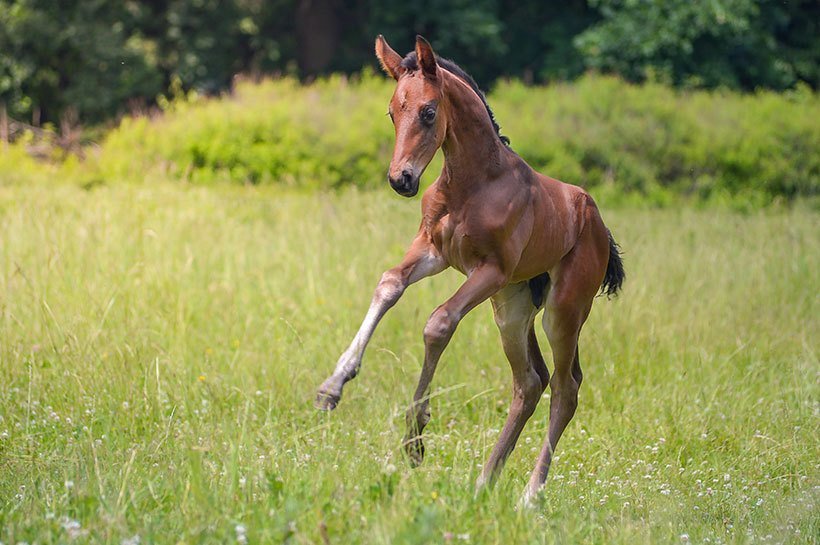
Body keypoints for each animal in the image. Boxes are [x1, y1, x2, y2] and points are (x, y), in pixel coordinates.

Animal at [314, 34, 620, 502]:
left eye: (428, 111)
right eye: (392, 111)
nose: (401, 180)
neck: (474, 183)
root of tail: (600, 226)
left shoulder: (490, 269)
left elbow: (438, 323)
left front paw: (414, 440)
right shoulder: (434, 250)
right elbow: (389, 284)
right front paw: (333, 387)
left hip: (561, 311)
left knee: (566, 388)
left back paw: (529, 495)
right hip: (512, 308)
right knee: (530, 382)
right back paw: (484, 482)